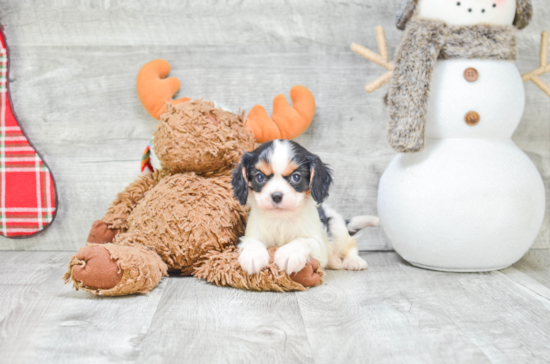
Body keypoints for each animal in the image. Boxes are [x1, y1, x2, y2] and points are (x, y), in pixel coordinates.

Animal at [232, 140, 380, 276]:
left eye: (296, 177)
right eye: (260, 177)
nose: (276, 196)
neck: (282, 218)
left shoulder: (319, 245)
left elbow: (305, 241)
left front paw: (289, 254)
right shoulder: (249, 236)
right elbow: (252, 242)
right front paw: (252, 255)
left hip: (337, 227)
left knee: (351, 245)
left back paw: (353, 260)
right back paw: (335, 261)